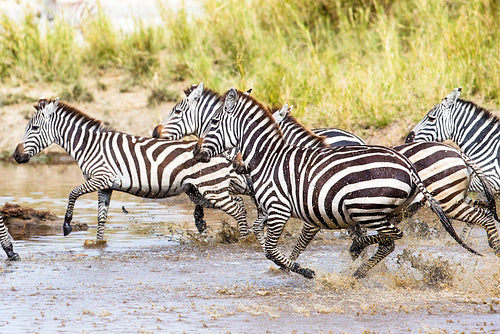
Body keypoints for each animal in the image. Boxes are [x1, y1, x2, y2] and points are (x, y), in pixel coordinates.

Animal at [13, 98, 252, 241]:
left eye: (34, 127)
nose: (15, 155)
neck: (90, 145)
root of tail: (221, 150)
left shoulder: (100, 178)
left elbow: (72, 193)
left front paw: (67, 226)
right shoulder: (105, 186)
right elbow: (101, 217)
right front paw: (99, 243)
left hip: (211, 188)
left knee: (239, 210)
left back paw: (244, 240)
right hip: (203, 190)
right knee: (239, 205)